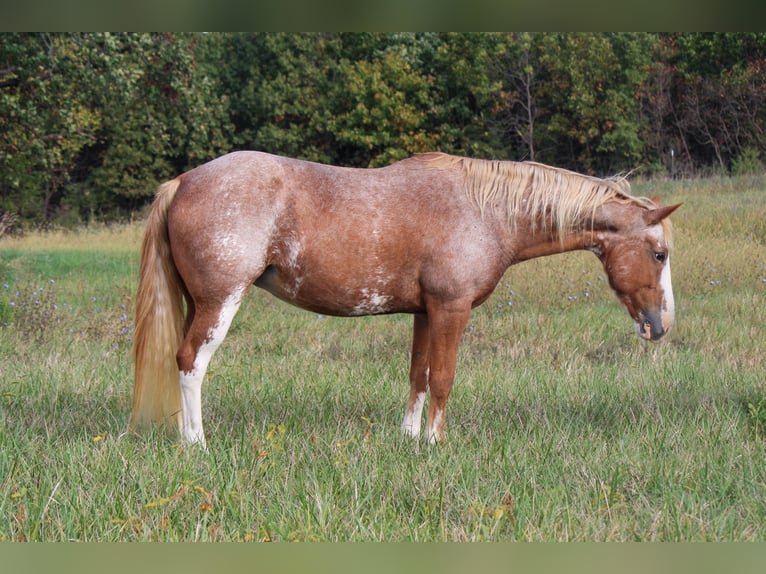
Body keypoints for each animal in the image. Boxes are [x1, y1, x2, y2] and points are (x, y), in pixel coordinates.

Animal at [130, 151, 681, 447]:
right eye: (659, 253)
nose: (661, 325)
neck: (487, 211)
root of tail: (184, 181)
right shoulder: (452, 309)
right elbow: (444, 379)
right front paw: (436, 443)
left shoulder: (425, 312)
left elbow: (418, 375)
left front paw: (410, 438)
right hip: (219, 303)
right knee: (191, 362)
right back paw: (197, 443)